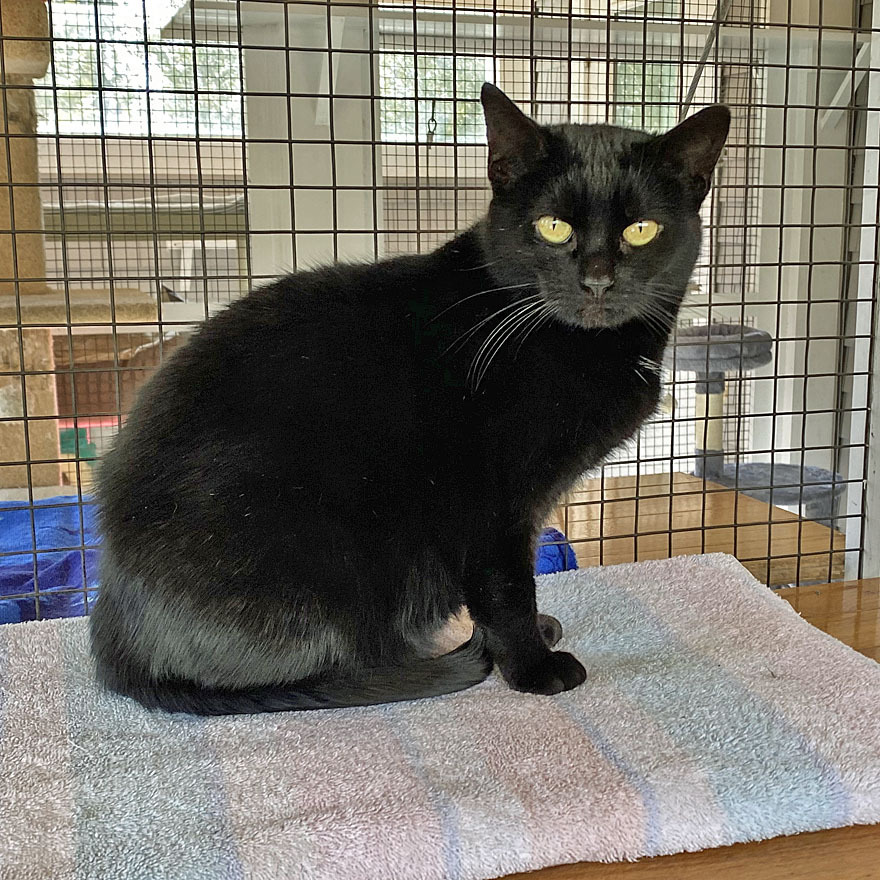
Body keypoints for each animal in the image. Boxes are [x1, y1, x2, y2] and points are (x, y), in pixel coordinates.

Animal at [93, 84, 732, 716]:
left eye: (641, 230)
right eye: (553, 227)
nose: (597, 279)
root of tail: (119, 643)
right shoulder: (493, 503)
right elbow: (507, 589)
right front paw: (532, 668)